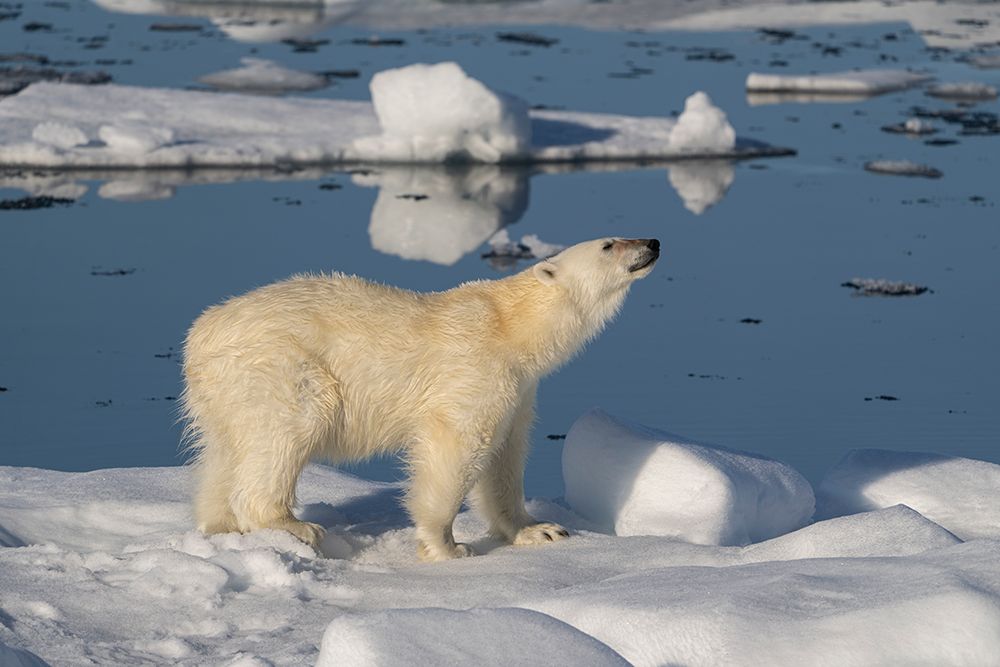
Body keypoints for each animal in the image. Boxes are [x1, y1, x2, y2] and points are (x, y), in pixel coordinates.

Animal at [181, 237, 660, 561]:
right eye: (609, 244)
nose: (652, 242)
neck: (512, 326)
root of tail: (201, 334)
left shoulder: (520, 388)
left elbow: (506, 455)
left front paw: (540, 530)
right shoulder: (475, 369)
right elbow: (458, 447)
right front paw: (449, 546)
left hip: (223, 390)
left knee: (226, 451)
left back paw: (220, 524)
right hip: (282, 365)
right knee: (289, 429)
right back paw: (294, 527)